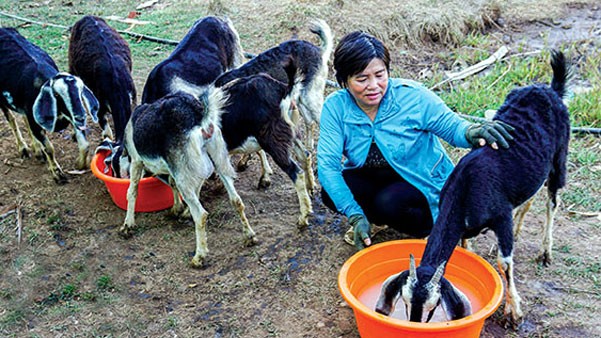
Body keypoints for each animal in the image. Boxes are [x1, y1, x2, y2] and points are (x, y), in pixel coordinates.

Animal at [0, 27, 98, 184]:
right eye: (57, 95)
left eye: (80, 91)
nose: (81, 117)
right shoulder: (36, 119)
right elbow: (49, 148)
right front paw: (58, 174)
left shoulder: (68, 116)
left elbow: (85, 145)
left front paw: (79, 164)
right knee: (12, 120)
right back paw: (23, 148)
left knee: (22, 119)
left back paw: (37, 150)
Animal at [120, 90, 254, 270]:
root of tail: (198, 116)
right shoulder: (178, 169)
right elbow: (173, 184)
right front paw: (178, 209)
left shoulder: (136, 161)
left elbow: (132, 191)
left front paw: (127, 225)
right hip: (218, 160)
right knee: (236, 200)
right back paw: (250, 236)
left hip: (185, 173)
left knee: (201, 214)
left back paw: (199, 257)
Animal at [376, 50, 572, 324]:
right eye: (404, 301)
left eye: (433, 306)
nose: (414, 324)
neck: (464, 190)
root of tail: (549, 89)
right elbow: (465, 245)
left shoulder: (501, 216)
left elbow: (504, 262)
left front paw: (513, 310)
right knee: (530, 195)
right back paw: (520, 229)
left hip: (560, 155)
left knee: (552, 199)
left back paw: (546, 251)